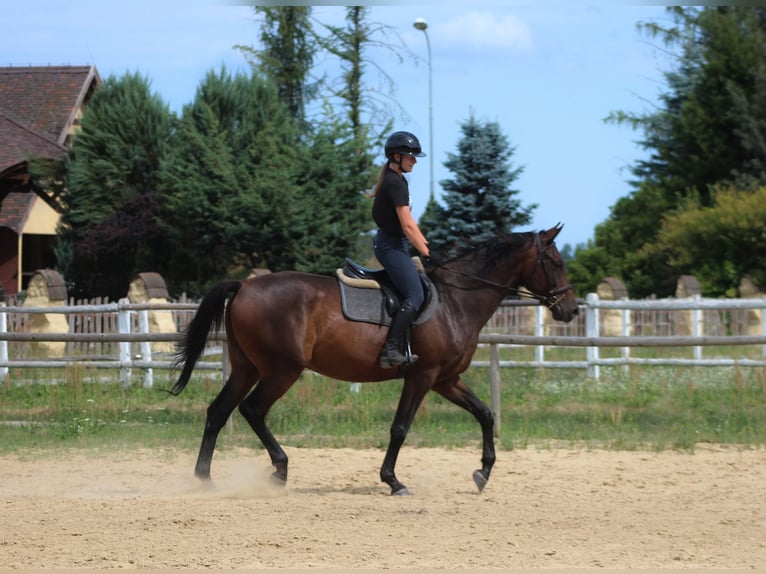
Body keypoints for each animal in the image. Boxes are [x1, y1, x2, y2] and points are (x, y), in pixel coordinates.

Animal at [170, 224, 579, 495]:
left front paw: (483, 473)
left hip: (247, 367)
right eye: (556, 262)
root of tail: (245, 285)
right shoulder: (422, 376)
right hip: (282, 369)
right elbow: (400, 428)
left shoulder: (446, 380)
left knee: (218, 411)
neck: (455, 300)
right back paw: (279, 470)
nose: (571, 310)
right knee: (253, 410)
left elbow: (485, 414)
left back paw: (205, 478)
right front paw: (393, 481)